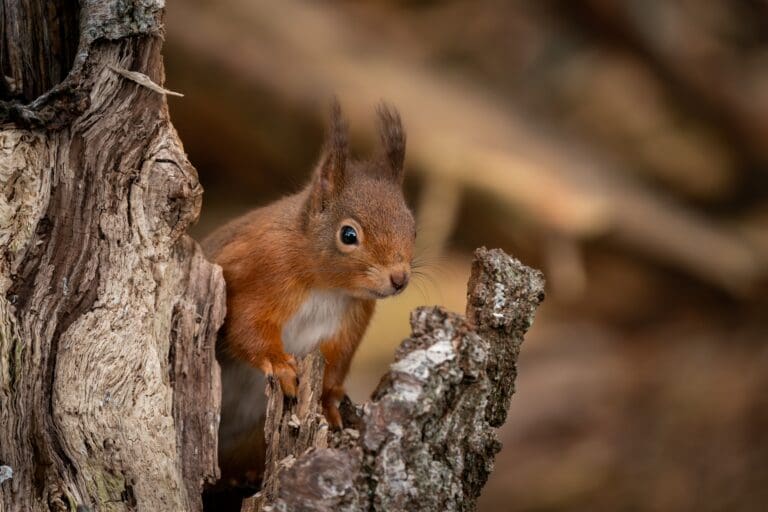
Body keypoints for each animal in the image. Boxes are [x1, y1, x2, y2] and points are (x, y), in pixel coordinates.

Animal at [201, 101, 415, 484]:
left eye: (412, 225)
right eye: (348, 235)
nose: (399, 278)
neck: (326, 287)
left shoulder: (347, 325)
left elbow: (334, 364)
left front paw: (328, 403)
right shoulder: (255, 274)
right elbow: (246, 327)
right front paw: (279, 364)